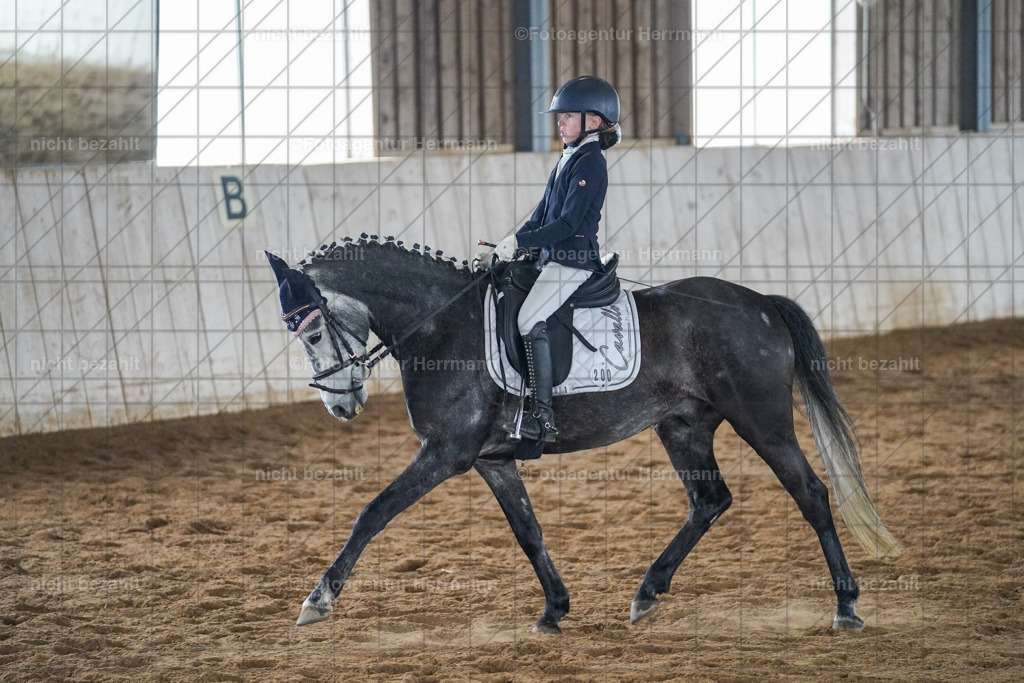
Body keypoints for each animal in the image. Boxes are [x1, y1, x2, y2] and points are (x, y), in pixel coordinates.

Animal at [266, 235, 902, 634]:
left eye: (313, 332)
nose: (341, 405)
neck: (442, 326)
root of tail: (760, 303)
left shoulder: (446, 454)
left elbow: (372, 512)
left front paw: (317, 600)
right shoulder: (492, 459)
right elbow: (528, 531)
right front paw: (555, 609)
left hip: (762, 422)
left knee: (811, 495)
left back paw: (846, 606)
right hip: (683, 426)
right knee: (710, 500)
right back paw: (647, 593)